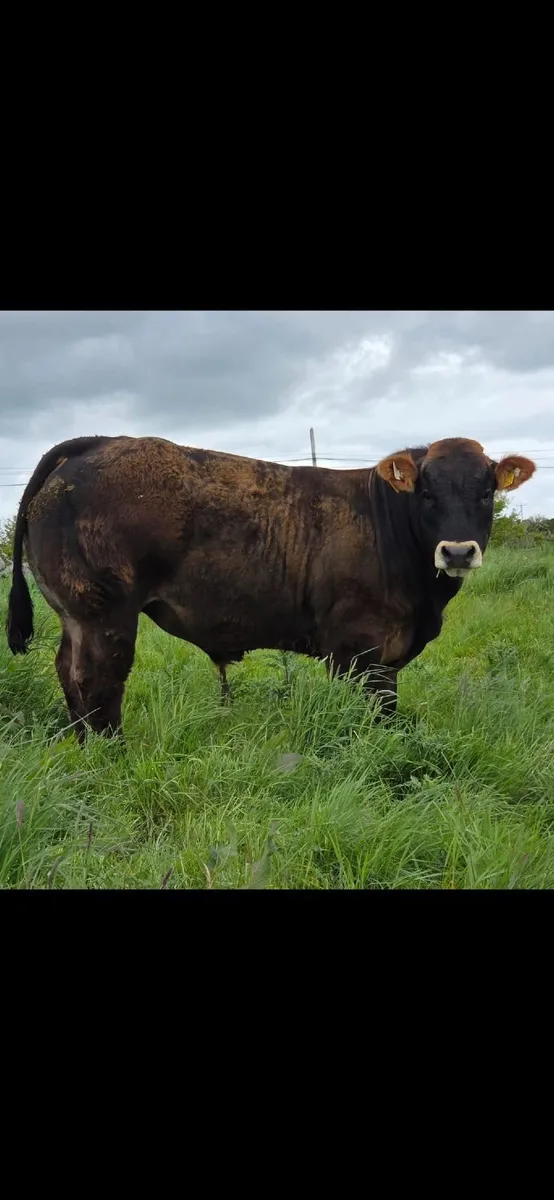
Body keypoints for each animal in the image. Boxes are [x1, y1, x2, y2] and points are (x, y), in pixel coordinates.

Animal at [6, 434, 535, 742]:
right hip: (104, 613)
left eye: (486, 491)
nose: (458, 552)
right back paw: (110, 749)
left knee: (67, 671)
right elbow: (367, 715)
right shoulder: (357, 650)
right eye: (426, 492)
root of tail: (97, 444)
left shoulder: (385, 657)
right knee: (97, 679)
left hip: (75, 614)